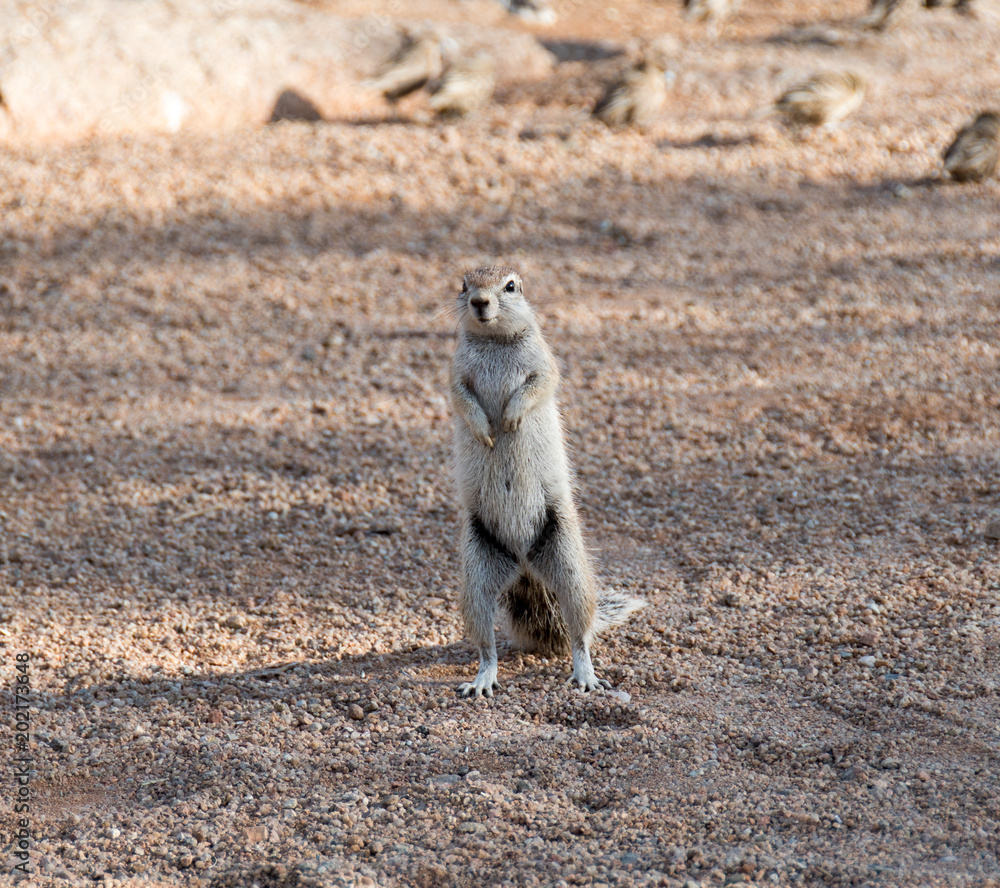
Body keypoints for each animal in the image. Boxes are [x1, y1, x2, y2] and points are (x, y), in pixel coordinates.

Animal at [448, 266, 644, 697]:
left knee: (581, 635)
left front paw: (510, 418)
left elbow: (538, 386)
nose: (479, 302)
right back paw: (483, 678)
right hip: (476, 577)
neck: (495, 340)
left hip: (569, 564)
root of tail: (523, 562)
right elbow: (462, 400)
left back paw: (586, 675)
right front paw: (484, 429)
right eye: (463, 285)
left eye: (510, 286)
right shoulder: (455, 376)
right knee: (486, 645)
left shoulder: (545, 364)